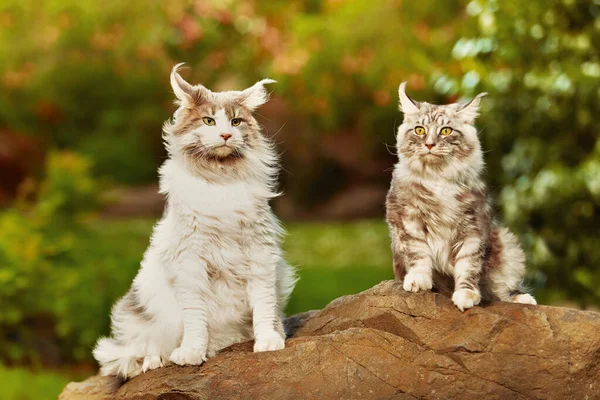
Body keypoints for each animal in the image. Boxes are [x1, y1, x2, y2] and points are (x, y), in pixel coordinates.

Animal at [92, 65, 296, 378]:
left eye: (236, 121)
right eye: (208, 120)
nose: (226, 134)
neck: (222, 180)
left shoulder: (260, 254)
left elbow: (264, 306)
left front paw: (269, 341)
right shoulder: (190, 261)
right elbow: (196, 319)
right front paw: (191, 354)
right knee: (138, 352)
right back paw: (156, 361)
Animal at [386, 83, 536, 310]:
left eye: (445, 131)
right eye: (420, 130)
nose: (429, 144)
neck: (437, 178)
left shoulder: (473, 228)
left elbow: (468, 267)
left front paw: (466, 295)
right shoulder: (407, 220)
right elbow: (418, 255)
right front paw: (418, 280)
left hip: (508, 245)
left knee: (500, 291)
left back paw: (524, 299)